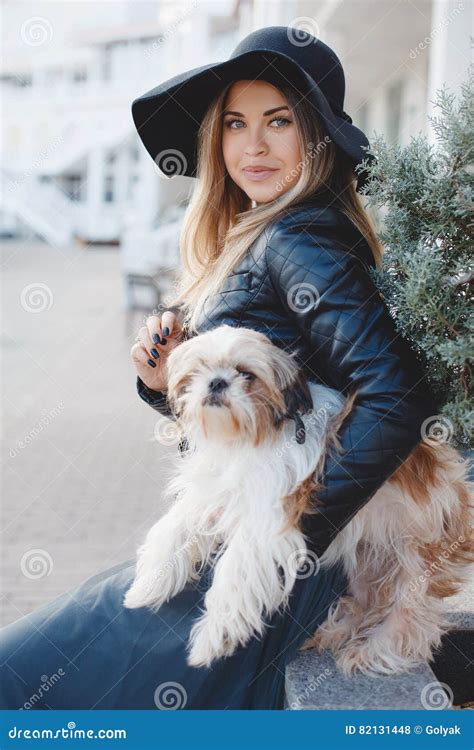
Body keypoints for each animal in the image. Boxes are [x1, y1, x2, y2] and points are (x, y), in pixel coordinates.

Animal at [123, 324, 474, 676]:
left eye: (246, 374)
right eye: (199, 370)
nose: (217, 382)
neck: (248, 436)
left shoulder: (272, 518)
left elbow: (235, 569)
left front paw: (214, 635)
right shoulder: (217, 490)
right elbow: (175, 526)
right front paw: (149, 582)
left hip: (419, 557)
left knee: (411, 616)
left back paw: (374, 650)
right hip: (367, 560)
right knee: (367, 602)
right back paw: (334, 632)